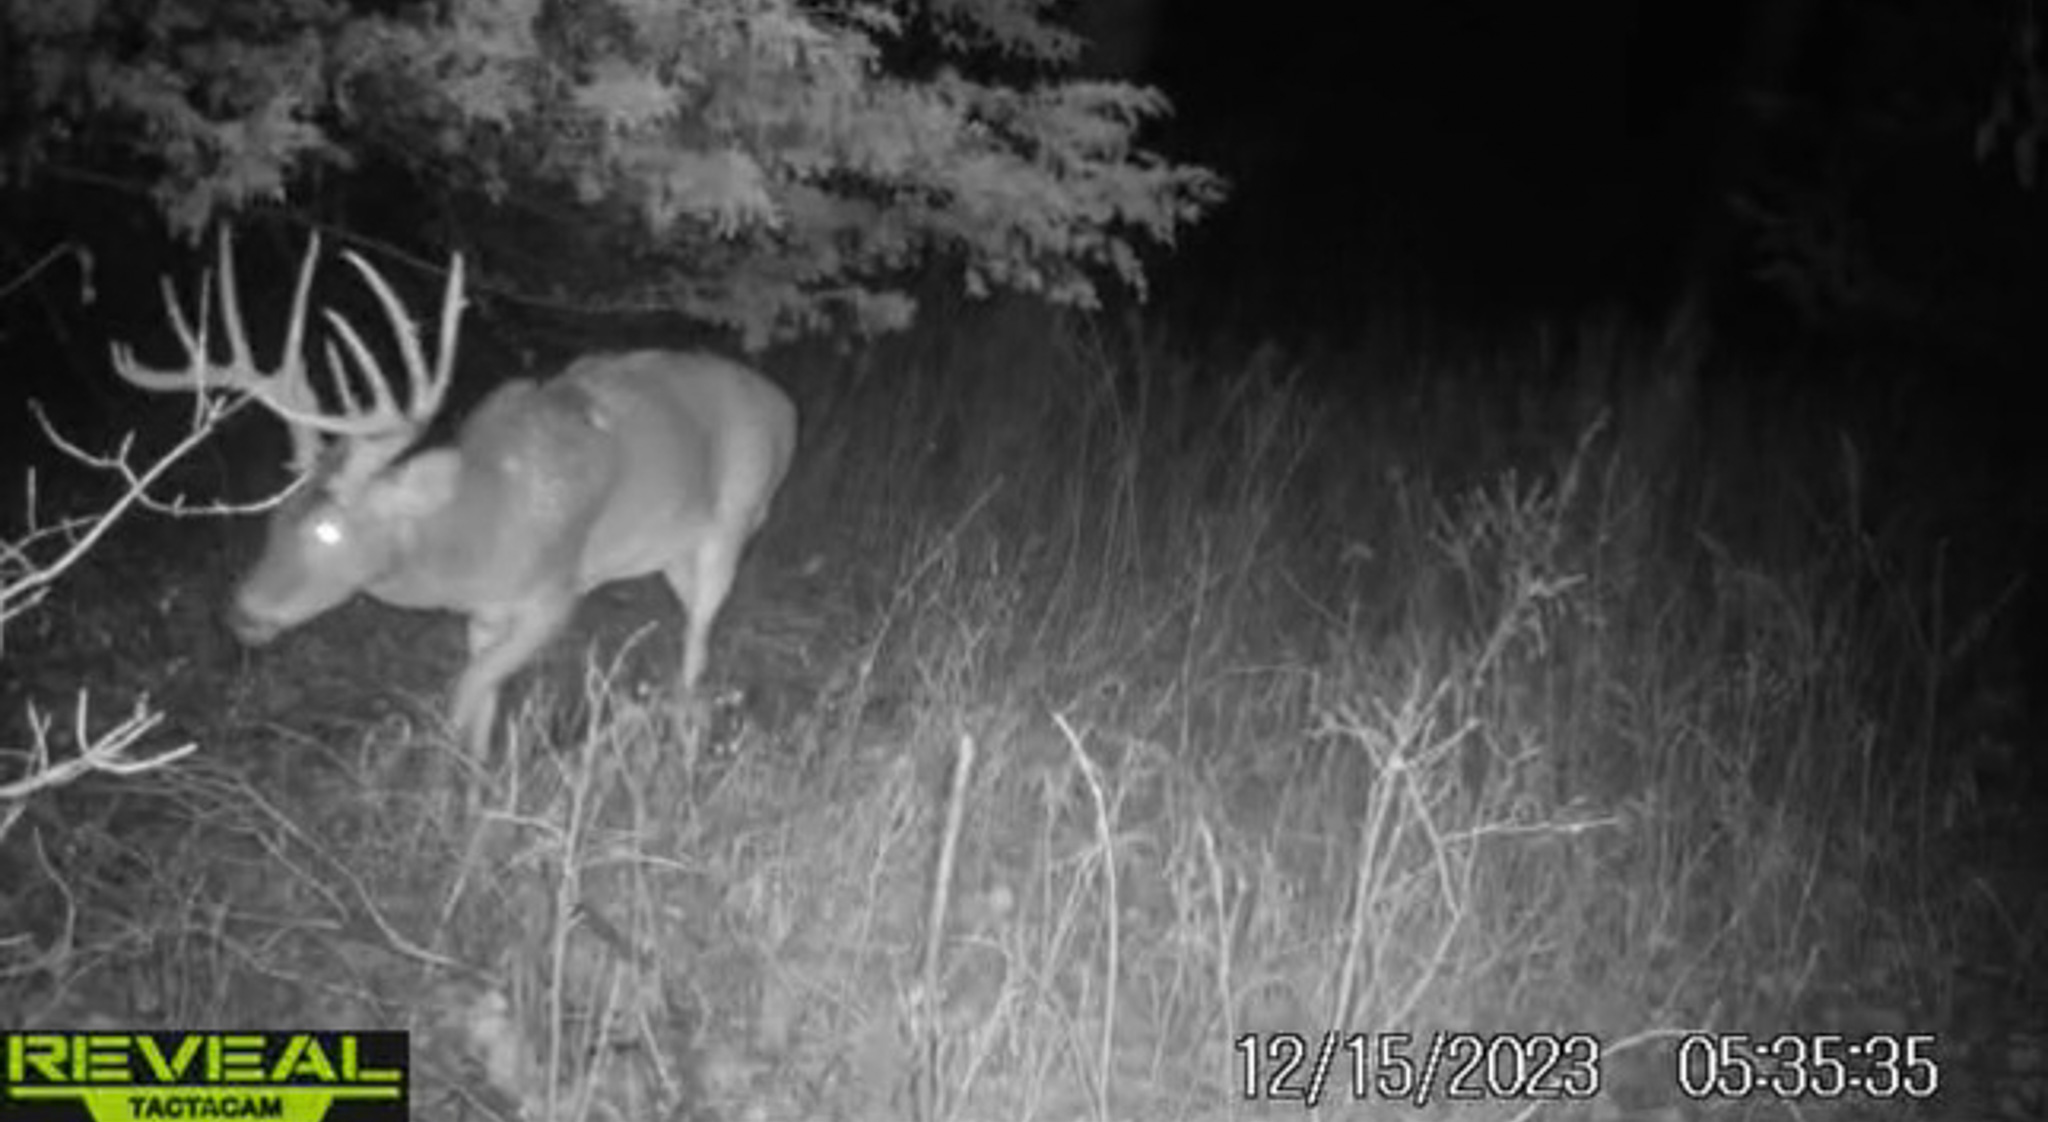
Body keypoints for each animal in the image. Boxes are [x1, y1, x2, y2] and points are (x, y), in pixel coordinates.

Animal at [108, 234, 798, 761]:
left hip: (730, 525)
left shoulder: (555, 595)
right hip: (673, 552)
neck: (477, 527)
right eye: (275, 520)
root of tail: (783, 406)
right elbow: (480, 708)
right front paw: (471, 786)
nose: (242, 614)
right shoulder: (483, 613)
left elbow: (463, 692)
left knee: (699, 639)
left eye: (330, 530)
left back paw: (679, 742)